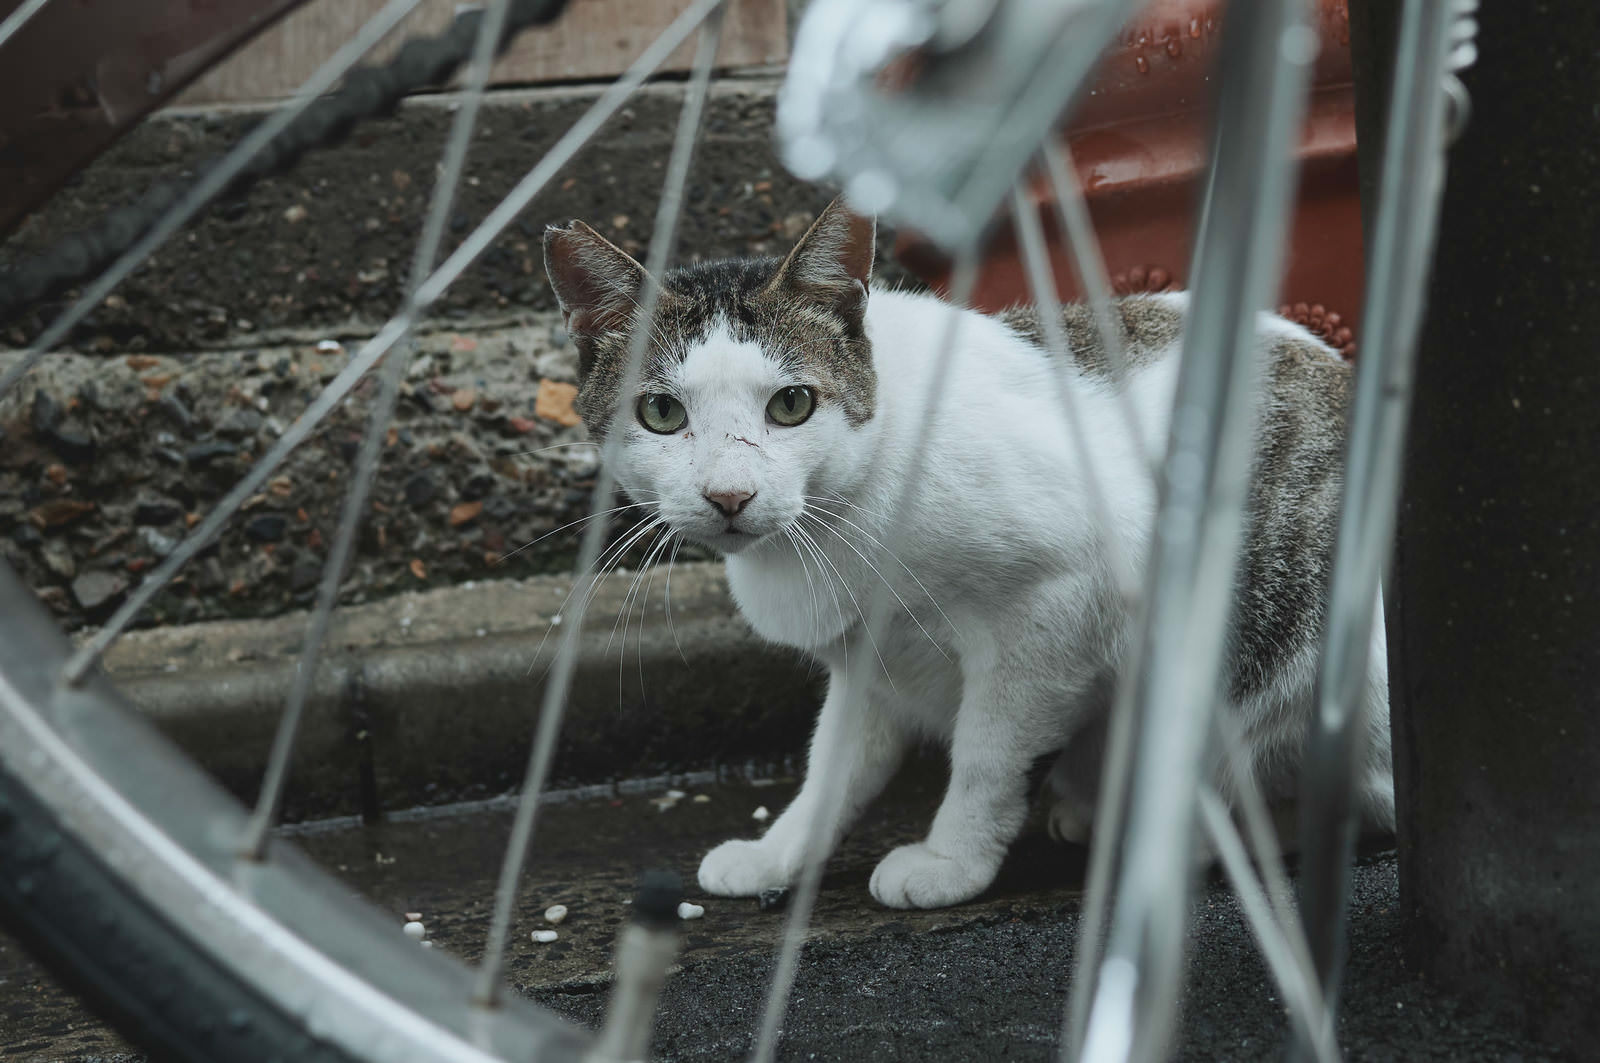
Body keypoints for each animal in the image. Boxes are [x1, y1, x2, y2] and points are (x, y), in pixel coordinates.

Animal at [544, 195, 1395, 909]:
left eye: (791, 405)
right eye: (662, 412)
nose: (728, 495)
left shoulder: (1050, 614)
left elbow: (987, 753)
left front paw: (950, 861)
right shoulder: (872, 663)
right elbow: (833, 768)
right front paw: (779, 853)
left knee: (1348, 799)